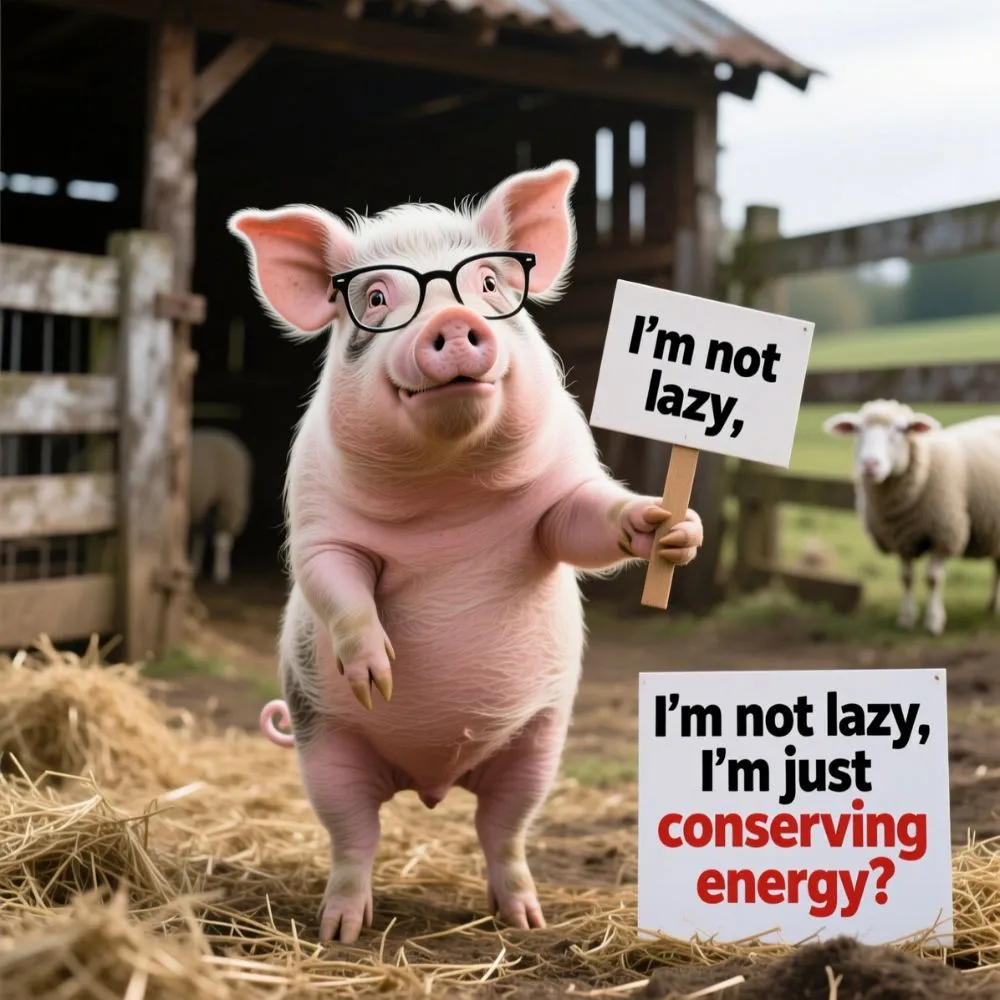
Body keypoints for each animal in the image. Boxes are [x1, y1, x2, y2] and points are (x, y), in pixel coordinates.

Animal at [229, 160, 704, 944]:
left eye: (487, 284)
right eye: (376, 297)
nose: (452, 322)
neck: (451, 494)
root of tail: (430, 779)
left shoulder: (557, 499)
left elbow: (587, 523)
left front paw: (671, 527)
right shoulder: (319, 524)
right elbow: (338, 584)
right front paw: (379, 674)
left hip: (537, 745)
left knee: (501, 832)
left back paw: (527, 920)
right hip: (324, 746)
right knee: (355, 837)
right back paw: (341, 929)